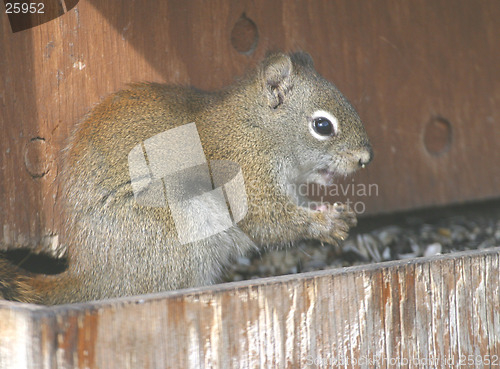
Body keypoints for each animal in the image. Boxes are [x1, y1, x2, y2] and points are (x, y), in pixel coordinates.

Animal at [0, 52, 372, 304]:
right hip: (178, 232)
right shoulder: (245, 169)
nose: (365, 158)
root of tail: (96, 276)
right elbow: (267, 220)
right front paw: (326, 224)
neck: (259, 128)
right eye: (322, 126)